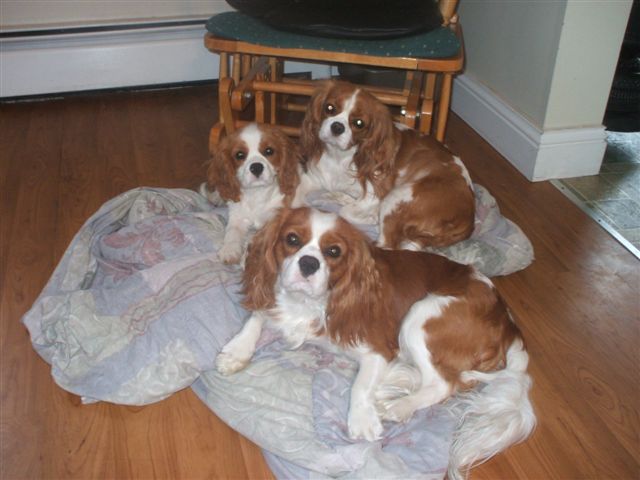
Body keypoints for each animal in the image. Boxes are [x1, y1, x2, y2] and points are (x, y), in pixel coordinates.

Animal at [202, 122, 302, 264]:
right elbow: (232, 231)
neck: (257, 192)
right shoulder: (237, 216)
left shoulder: (273, 219)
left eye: (269, 151)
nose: (256, 167)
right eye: (239, 155)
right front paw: (229, 249)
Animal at [218, 207, 536, 480]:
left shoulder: (378, 348)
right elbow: (257, 316)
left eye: (333, 252)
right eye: (292, 239)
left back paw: (399, 405)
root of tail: (507, 320)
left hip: (420, 315)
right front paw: (236, 351)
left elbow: (360, 385)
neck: (306, 304)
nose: (309, 263)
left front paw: (361, 420)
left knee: (444, 384)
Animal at [296, 80, 476, 249]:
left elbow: (346, 212)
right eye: (330, 108)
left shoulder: (377, 193)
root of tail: (469, 220)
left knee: (386, 243)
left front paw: (368, 216)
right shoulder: (313, 178)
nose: (337, 126)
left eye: (359, 123)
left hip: (398, 195)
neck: (339, 156)